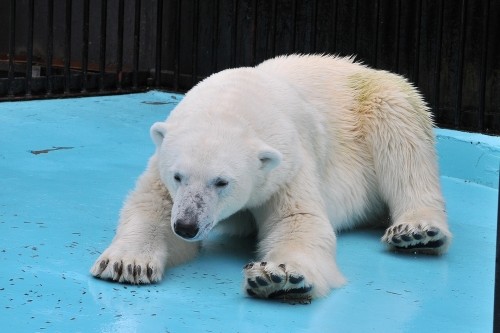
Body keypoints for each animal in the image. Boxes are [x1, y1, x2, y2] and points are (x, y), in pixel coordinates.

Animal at [91, 53, 454, 298]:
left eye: (221, 182)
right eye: (178, 176)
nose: (187, 226)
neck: (236, 101)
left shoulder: (286, 165)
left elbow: (297, 220)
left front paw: (278, 277)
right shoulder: (164, 169)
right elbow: (150, 206)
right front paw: (127, 263)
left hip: (381, 101)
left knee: (406, 151)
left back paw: (416, 233)